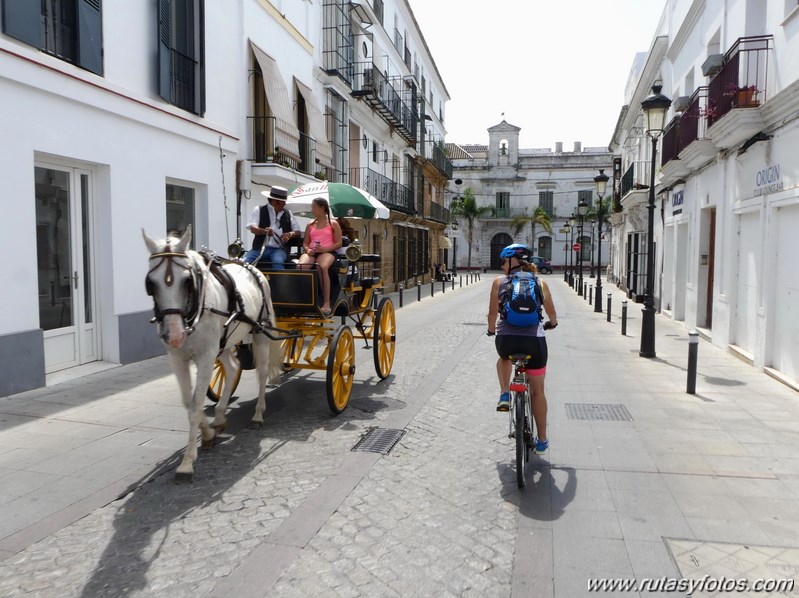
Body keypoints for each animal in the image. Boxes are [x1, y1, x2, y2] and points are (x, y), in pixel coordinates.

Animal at [142, 225, 282, 482]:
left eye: (187, 281)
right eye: (151, 283)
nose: (174, 334)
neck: (195, 308)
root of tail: (252, 266)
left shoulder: (206, 356)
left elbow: (195, 405)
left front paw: (187, 462)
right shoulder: (177, 357)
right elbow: (188, 402)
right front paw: (207, 432)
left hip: (259, 330)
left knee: (262, 372)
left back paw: (258, 415)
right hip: (225, 342)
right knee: (233, 367)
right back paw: (219, 417)